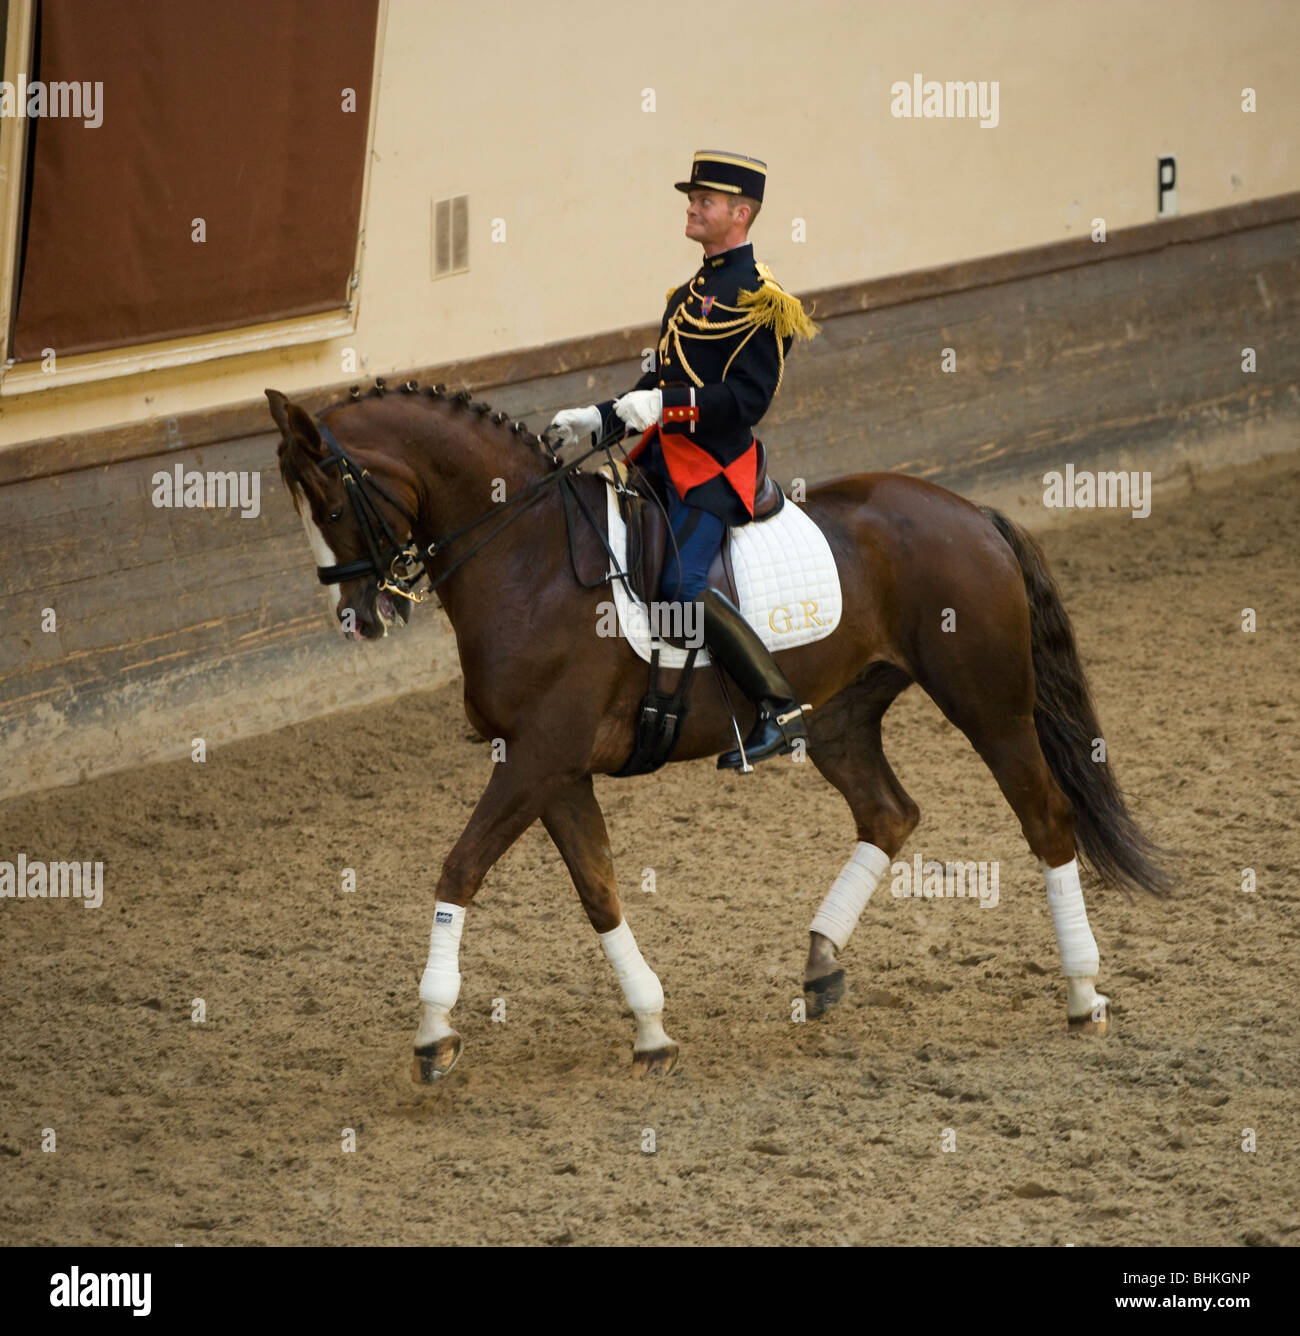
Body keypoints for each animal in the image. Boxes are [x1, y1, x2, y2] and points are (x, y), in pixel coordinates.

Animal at [266, 379, 1167, 1083]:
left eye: (333, 503)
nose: (356, 619)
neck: (530, 561)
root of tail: (971, 511)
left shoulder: (536, 760)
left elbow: (459, 870)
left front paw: (432, 1031)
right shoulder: (551, 768)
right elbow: (599, 890)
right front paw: (651, 1029)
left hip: (989, 704)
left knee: (1045, 819)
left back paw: (1083, 993)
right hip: (840, 719)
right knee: (889, 813)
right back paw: (822, 963)